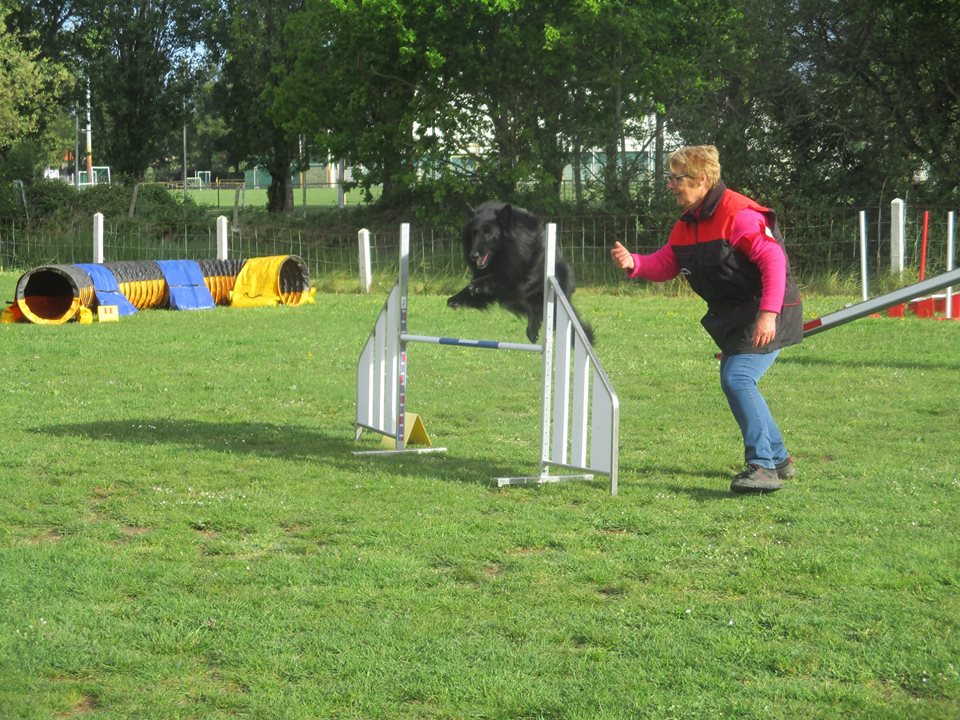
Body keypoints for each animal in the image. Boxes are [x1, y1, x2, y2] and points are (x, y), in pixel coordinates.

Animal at [448, 201, 592, 344]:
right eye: (474, 233)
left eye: (487, 234)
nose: (473, 255)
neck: (505, 250)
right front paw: (456, 299)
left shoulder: (517, 279)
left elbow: (495, 278)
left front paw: (476, 285)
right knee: (533, 310)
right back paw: (533, 330)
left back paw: (587, 337)